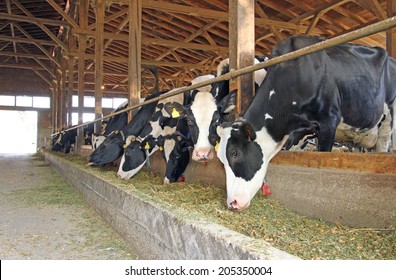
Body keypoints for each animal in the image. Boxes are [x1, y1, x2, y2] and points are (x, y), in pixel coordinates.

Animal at [217, 35, 396, 210]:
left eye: (235, 153)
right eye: (221, 159)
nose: (232, 203)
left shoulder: (329, 122)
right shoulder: (298, 134)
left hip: (388, 121)